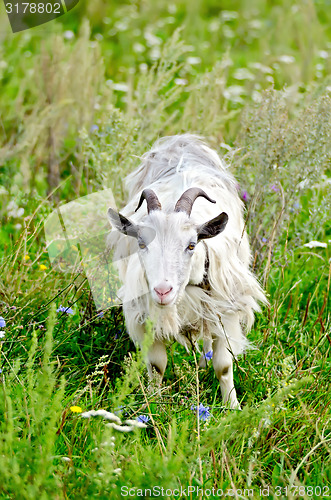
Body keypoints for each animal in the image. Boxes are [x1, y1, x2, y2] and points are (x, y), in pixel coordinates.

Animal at [107, 135, 268, 408]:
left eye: (191, 245)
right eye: (142, 243)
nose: (163, 291)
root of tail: (181, 141)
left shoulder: (226, 309)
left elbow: (224, 366)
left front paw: (232, 407)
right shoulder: (146, 316)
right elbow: (156, 365)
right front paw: (154, 404)